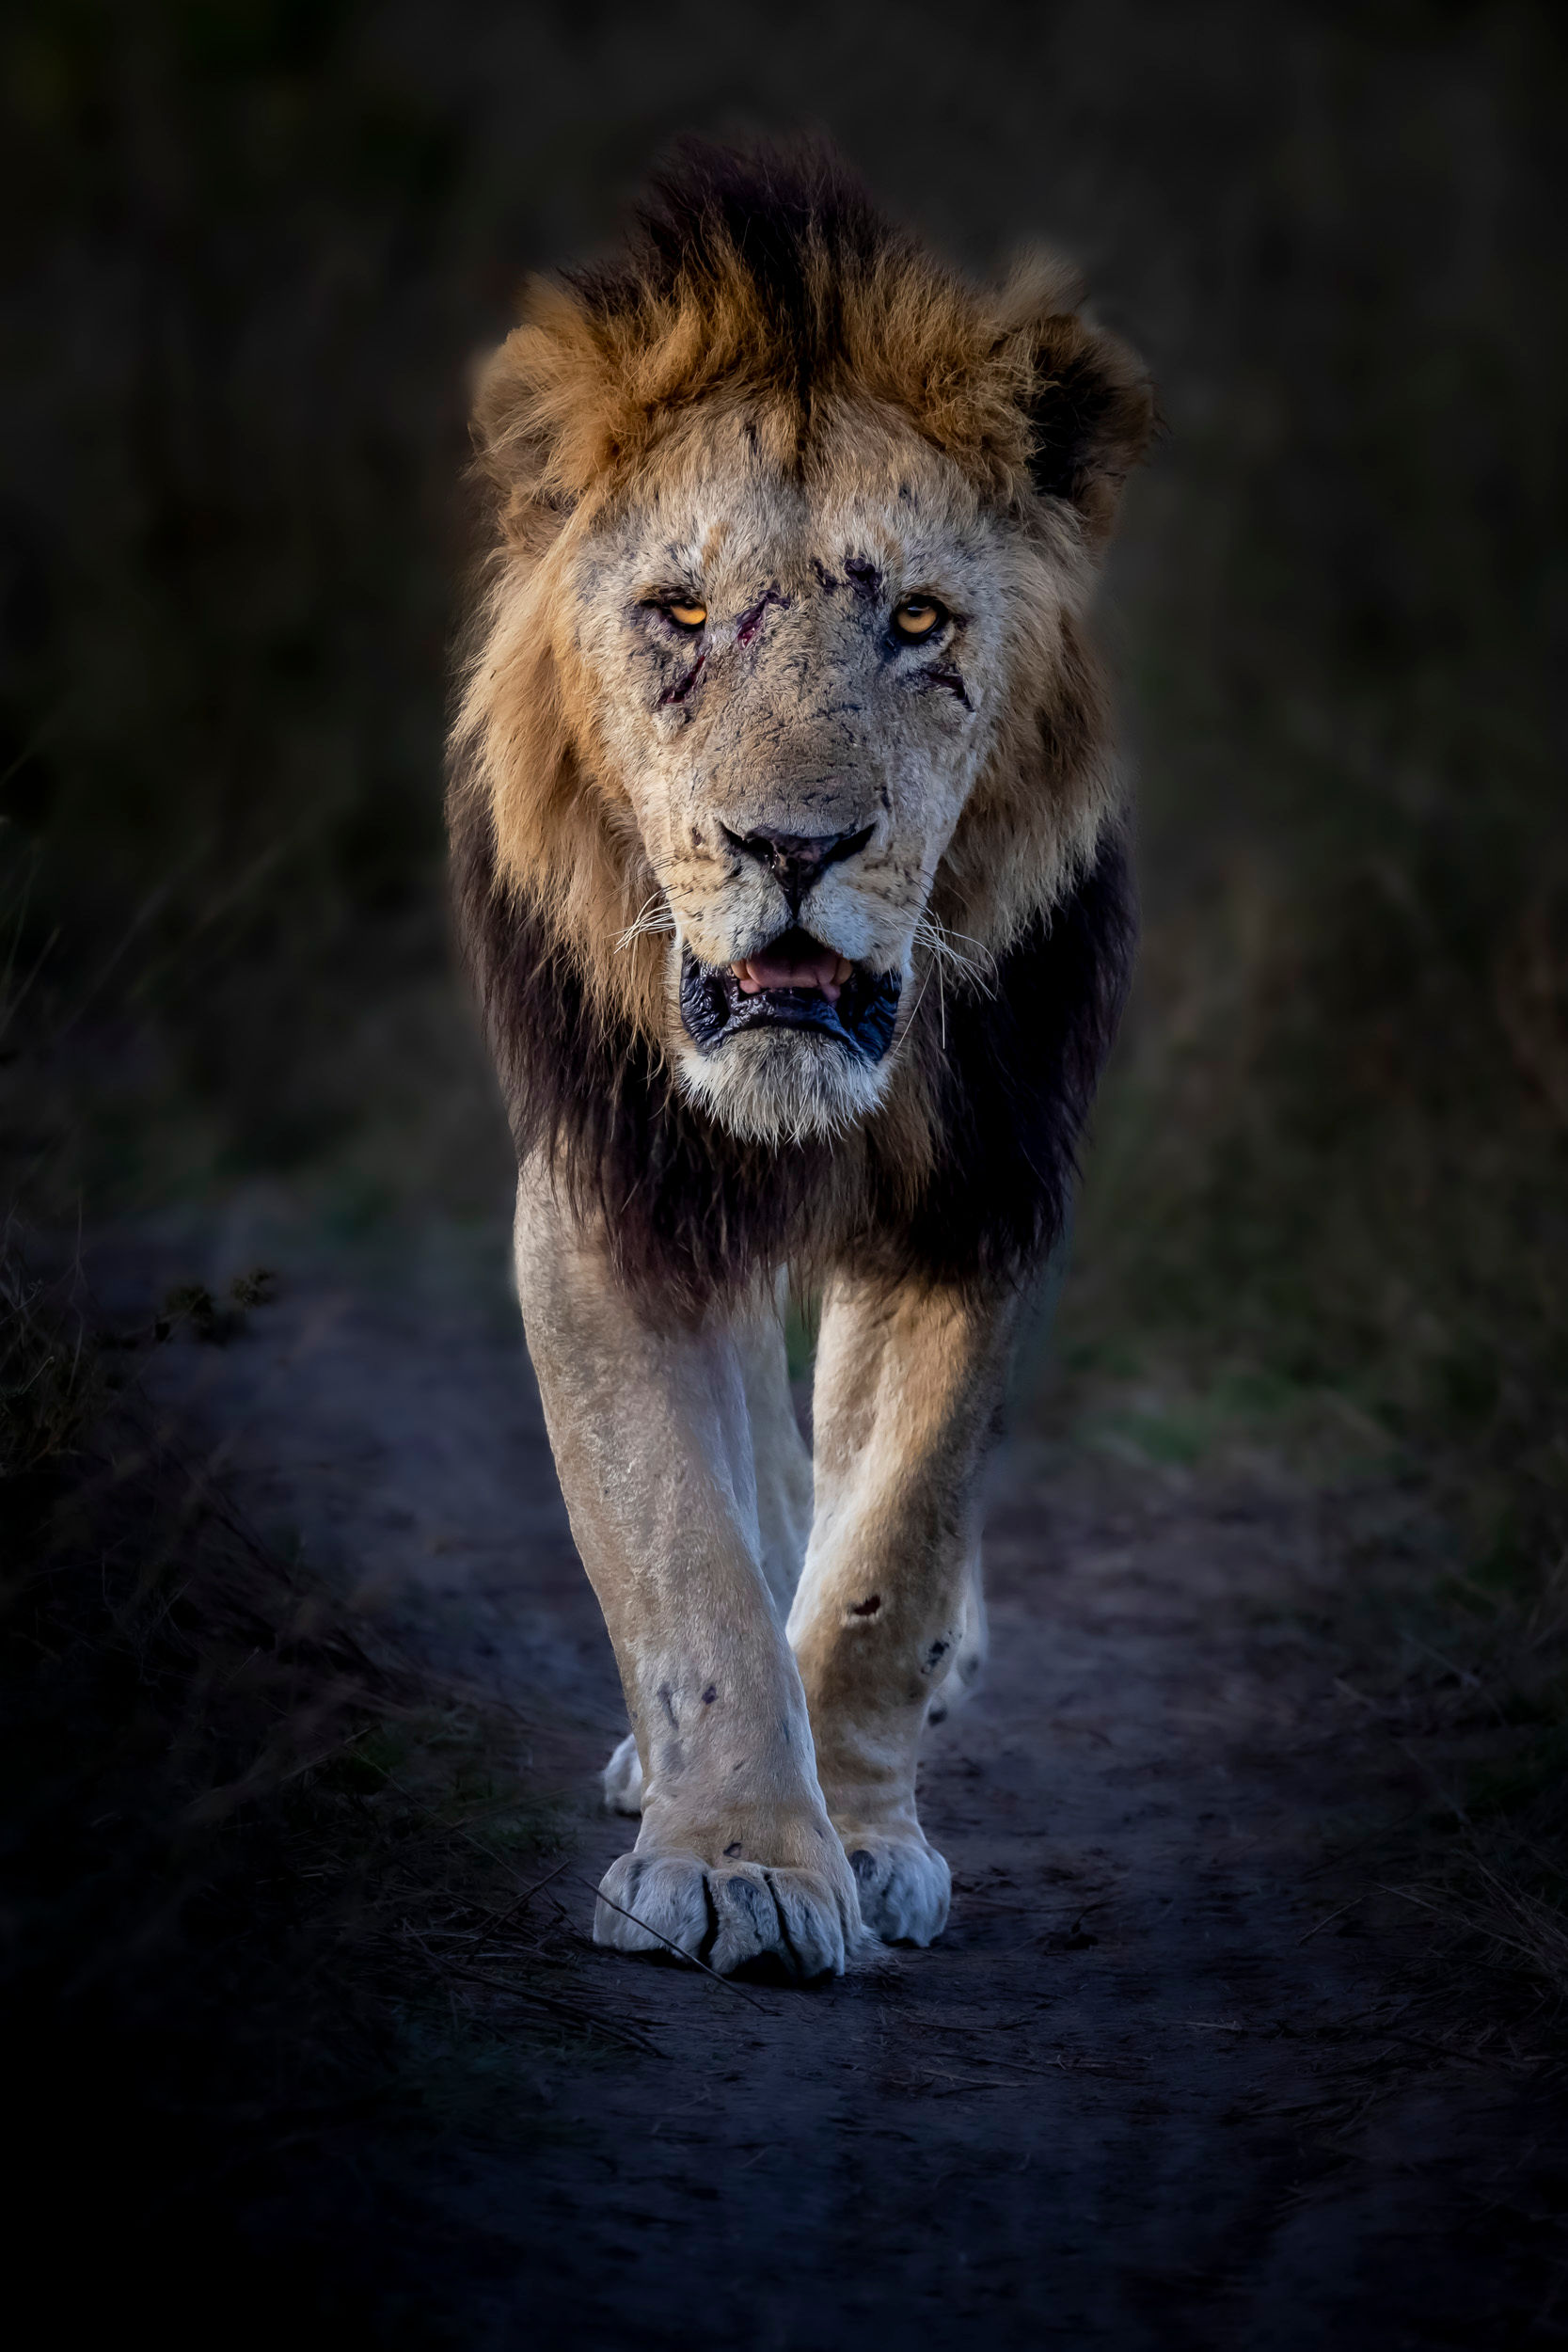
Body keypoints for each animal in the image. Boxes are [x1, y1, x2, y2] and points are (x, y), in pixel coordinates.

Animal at [448, 142, 1151, 1979]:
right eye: (679, 612)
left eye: (915, 619)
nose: (791, 846)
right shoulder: (614, 1191)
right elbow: (682, 1548)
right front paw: (743, 1864)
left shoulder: (983, 1197)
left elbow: (890, 1549)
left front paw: (865, 1830)